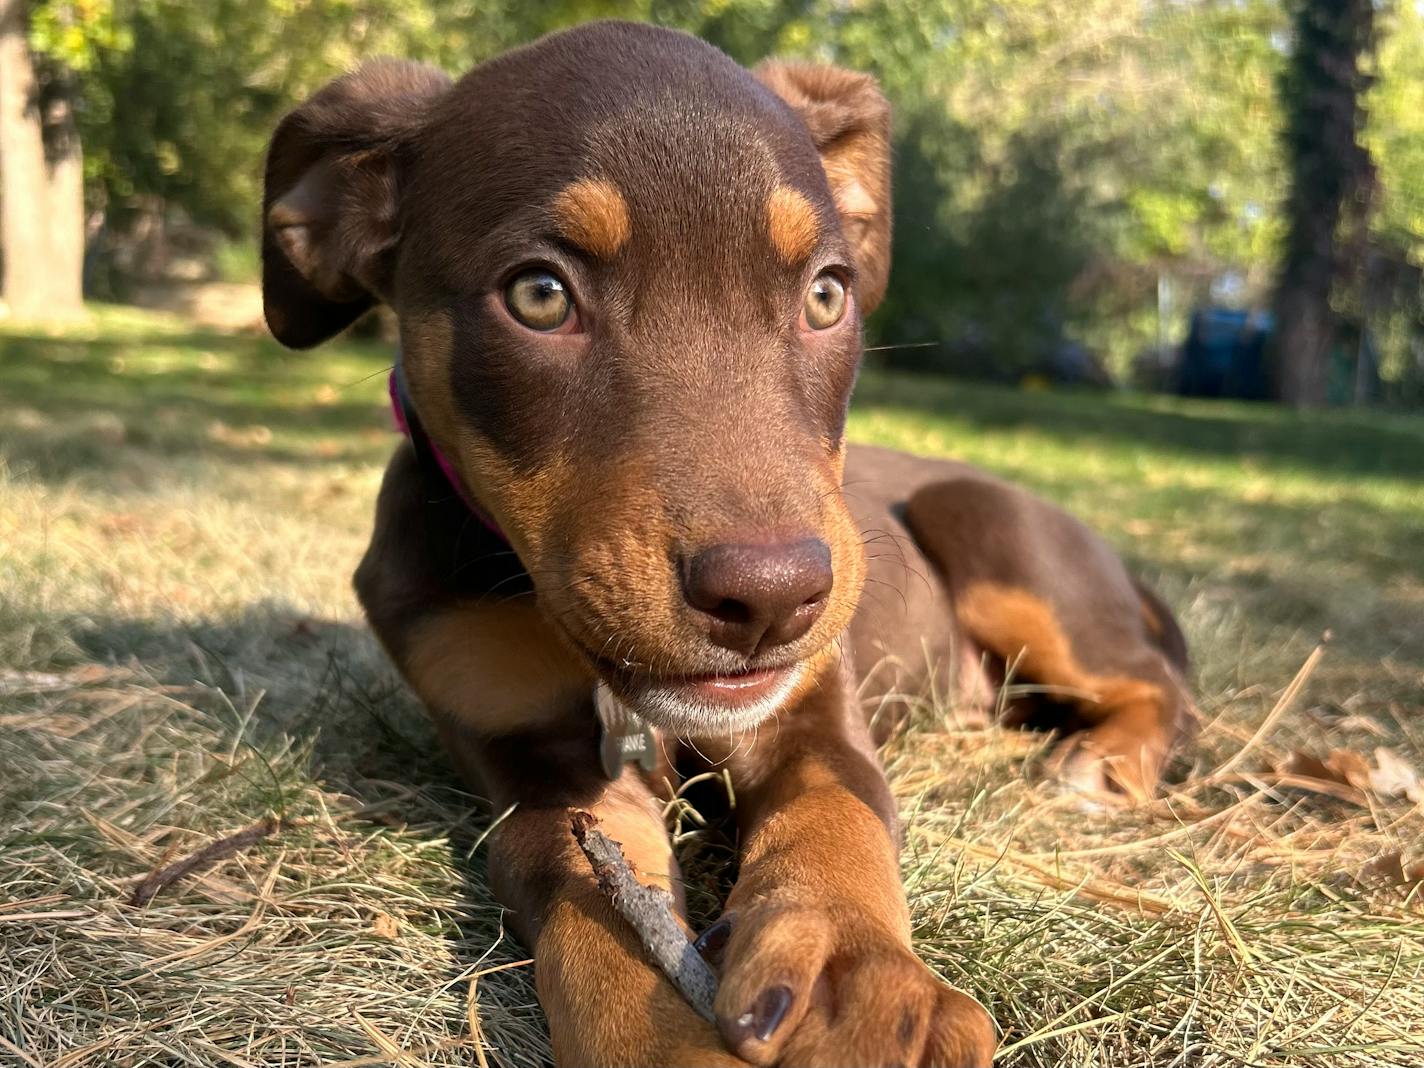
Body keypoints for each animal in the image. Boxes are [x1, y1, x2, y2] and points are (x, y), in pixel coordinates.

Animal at [259, 18, 1190, 1068]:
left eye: (827, 295)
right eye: (538, 296)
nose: (772, 599)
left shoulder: (810, 709)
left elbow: (837, 810)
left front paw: (851, 973)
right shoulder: (533, 760)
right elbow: (595, 911)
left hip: (991, 531)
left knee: (1162, 686)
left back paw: (1100, 766)